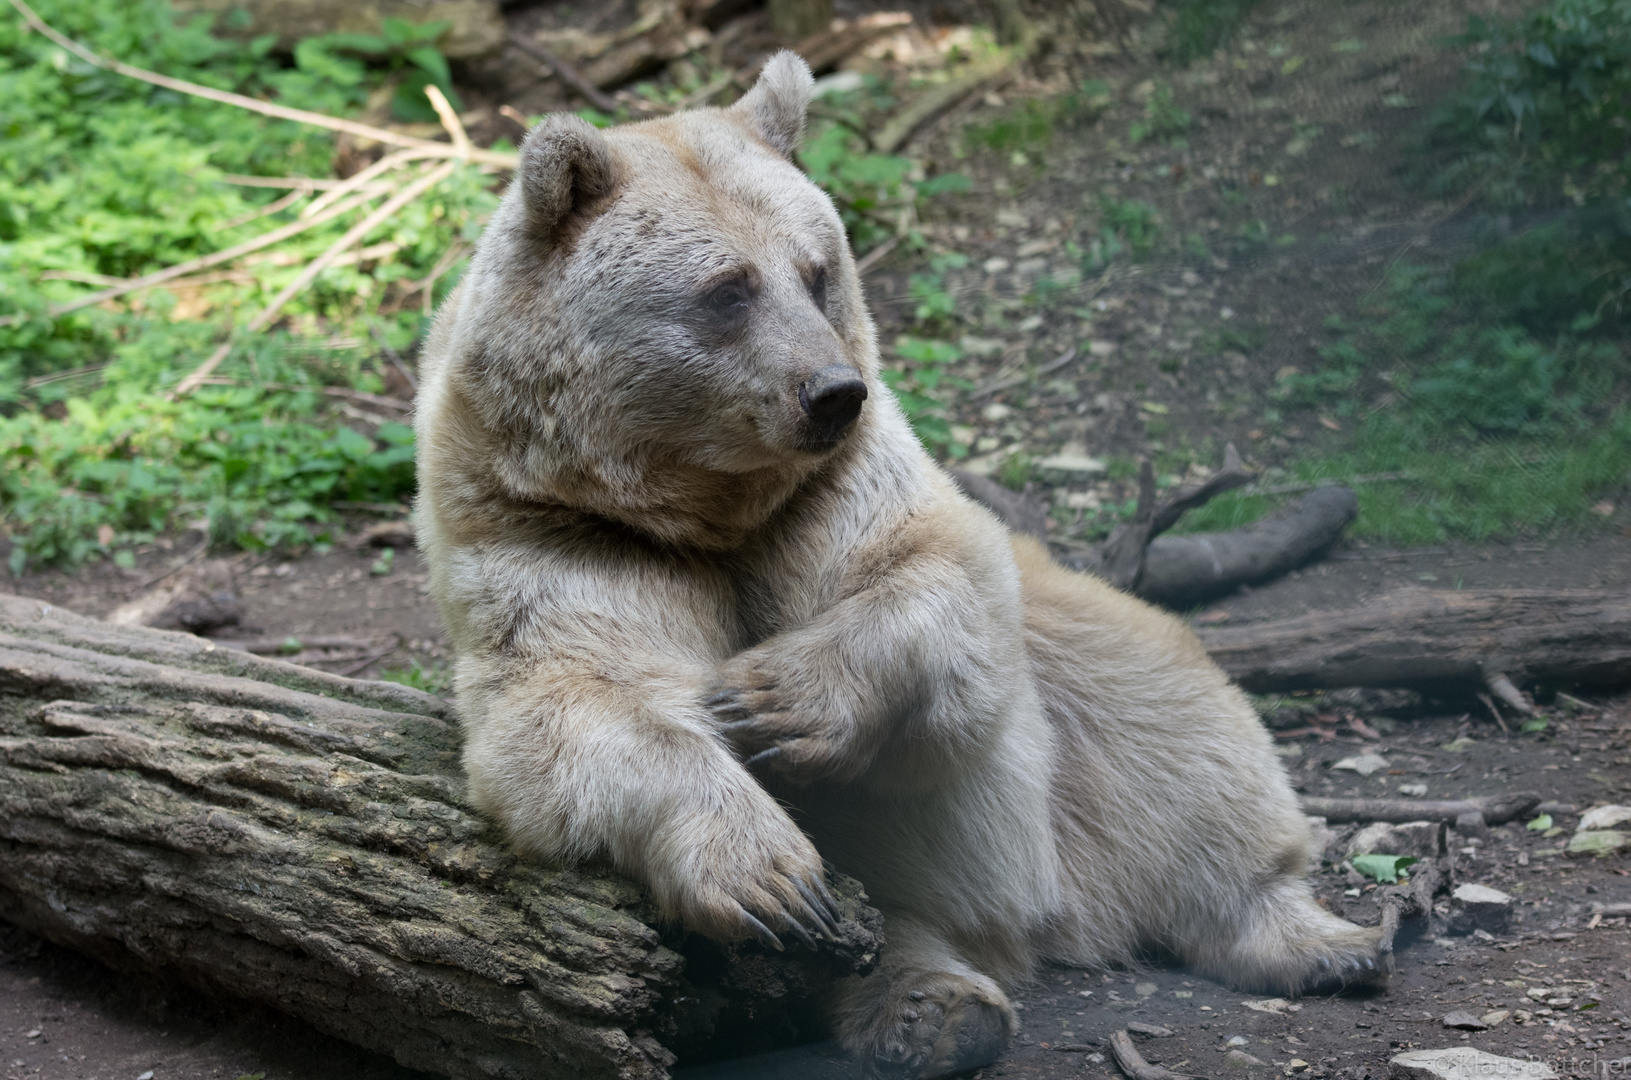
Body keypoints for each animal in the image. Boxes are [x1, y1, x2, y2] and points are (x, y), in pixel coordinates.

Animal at [411, 50, 1389, 1080]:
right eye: (727, 288)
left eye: (815, 271)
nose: (831, 390)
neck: (704, 510)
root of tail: (1041, 920)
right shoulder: (557, 539)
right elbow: (574, 715)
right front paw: (768, 875)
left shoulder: (836, 495)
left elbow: (934, 583)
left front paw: (768, 697)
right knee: (890, 928)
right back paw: (934, 1007)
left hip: (1085, 680)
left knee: (1179, 741)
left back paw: (1318, 938)